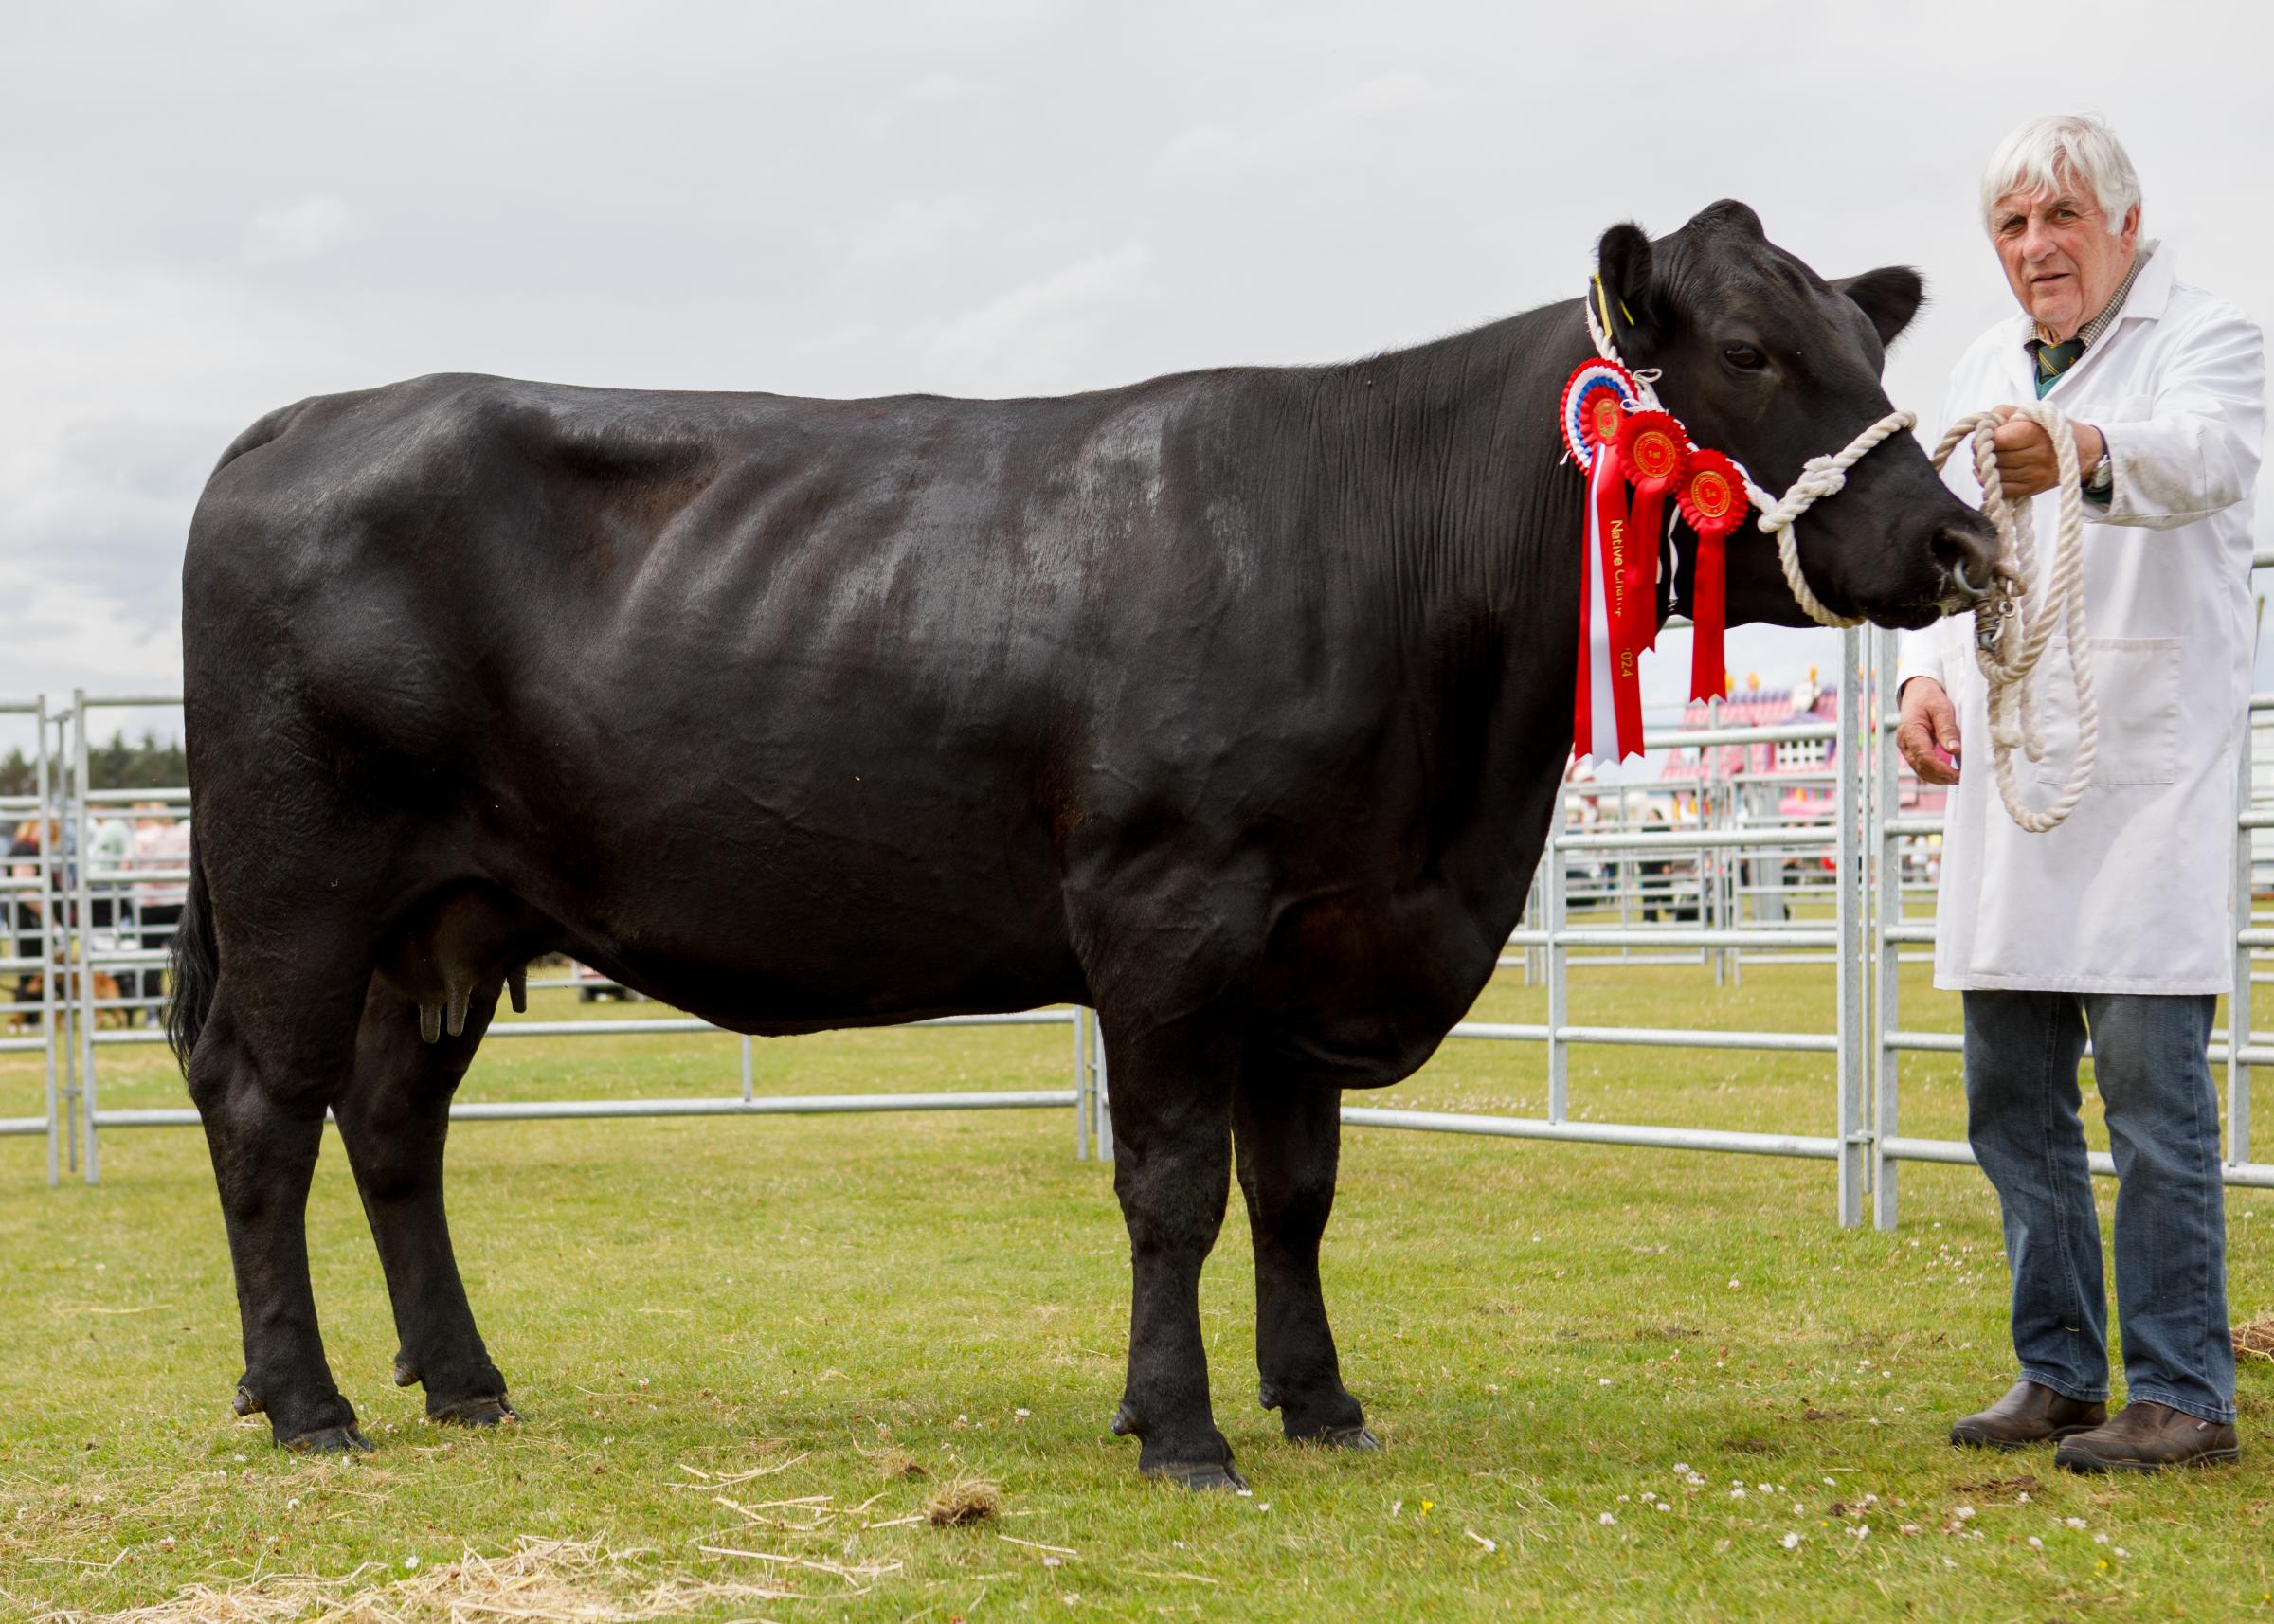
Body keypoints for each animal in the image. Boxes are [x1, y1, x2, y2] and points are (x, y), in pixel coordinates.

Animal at [172, 199, 1992, 1483]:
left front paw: (1321, 1399)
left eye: (1869, 344)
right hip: (300, 886)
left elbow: (1298, 1190)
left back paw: (463, 1382)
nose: (1960, 538)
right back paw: (308, 1401)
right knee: (266, 1110)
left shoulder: (1317, 934)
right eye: (1749, 349)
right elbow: (1175, 1182)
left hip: (451, 912)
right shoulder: (1171, 910)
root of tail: (307, 418)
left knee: (392, 1124)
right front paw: (1179, 1427)